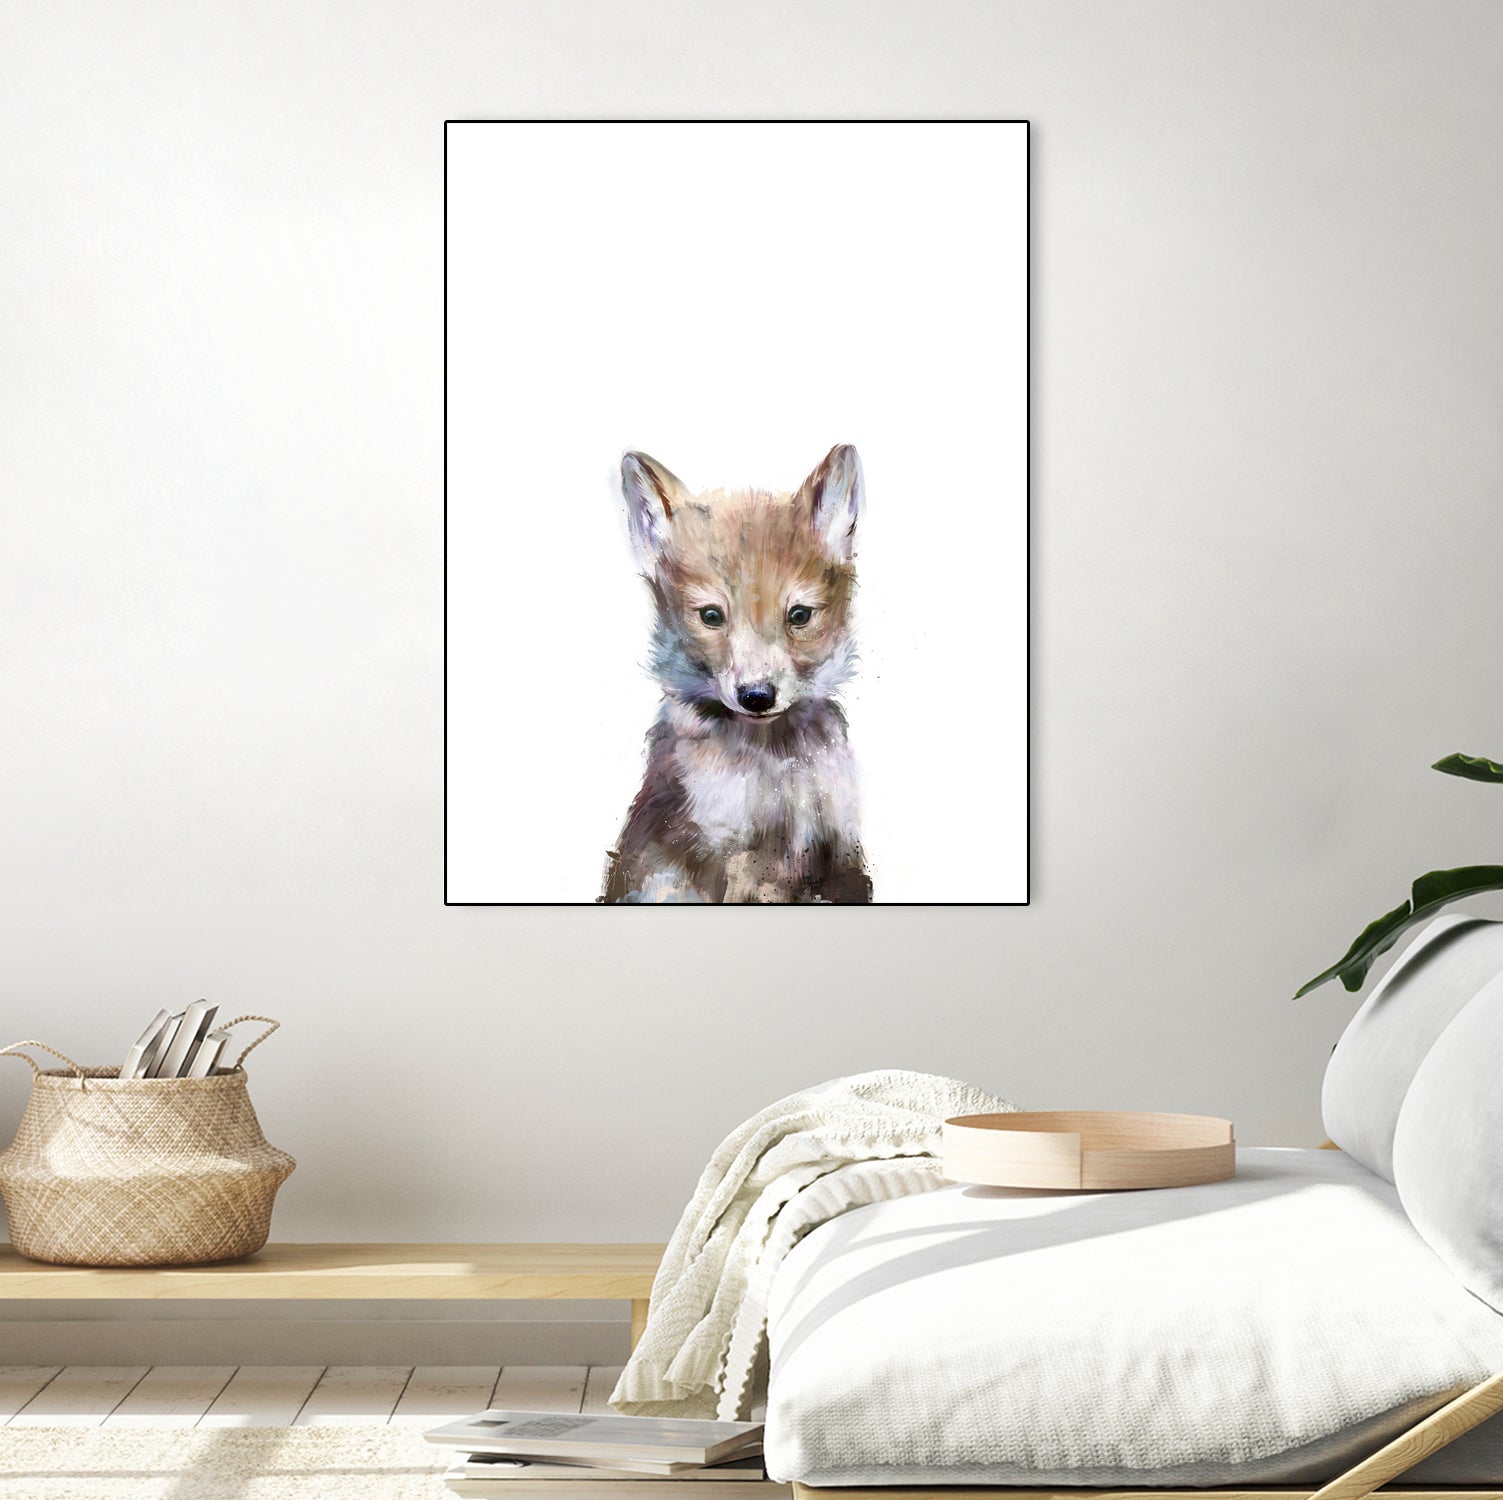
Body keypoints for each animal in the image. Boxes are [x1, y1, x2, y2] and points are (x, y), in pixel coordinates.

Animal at [601, 445, 874, 904]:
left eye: (799, 615)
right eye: (711, 616)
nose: (757, 697)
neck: (775, 767)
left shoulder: (838, 850)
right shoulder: (728, 855)